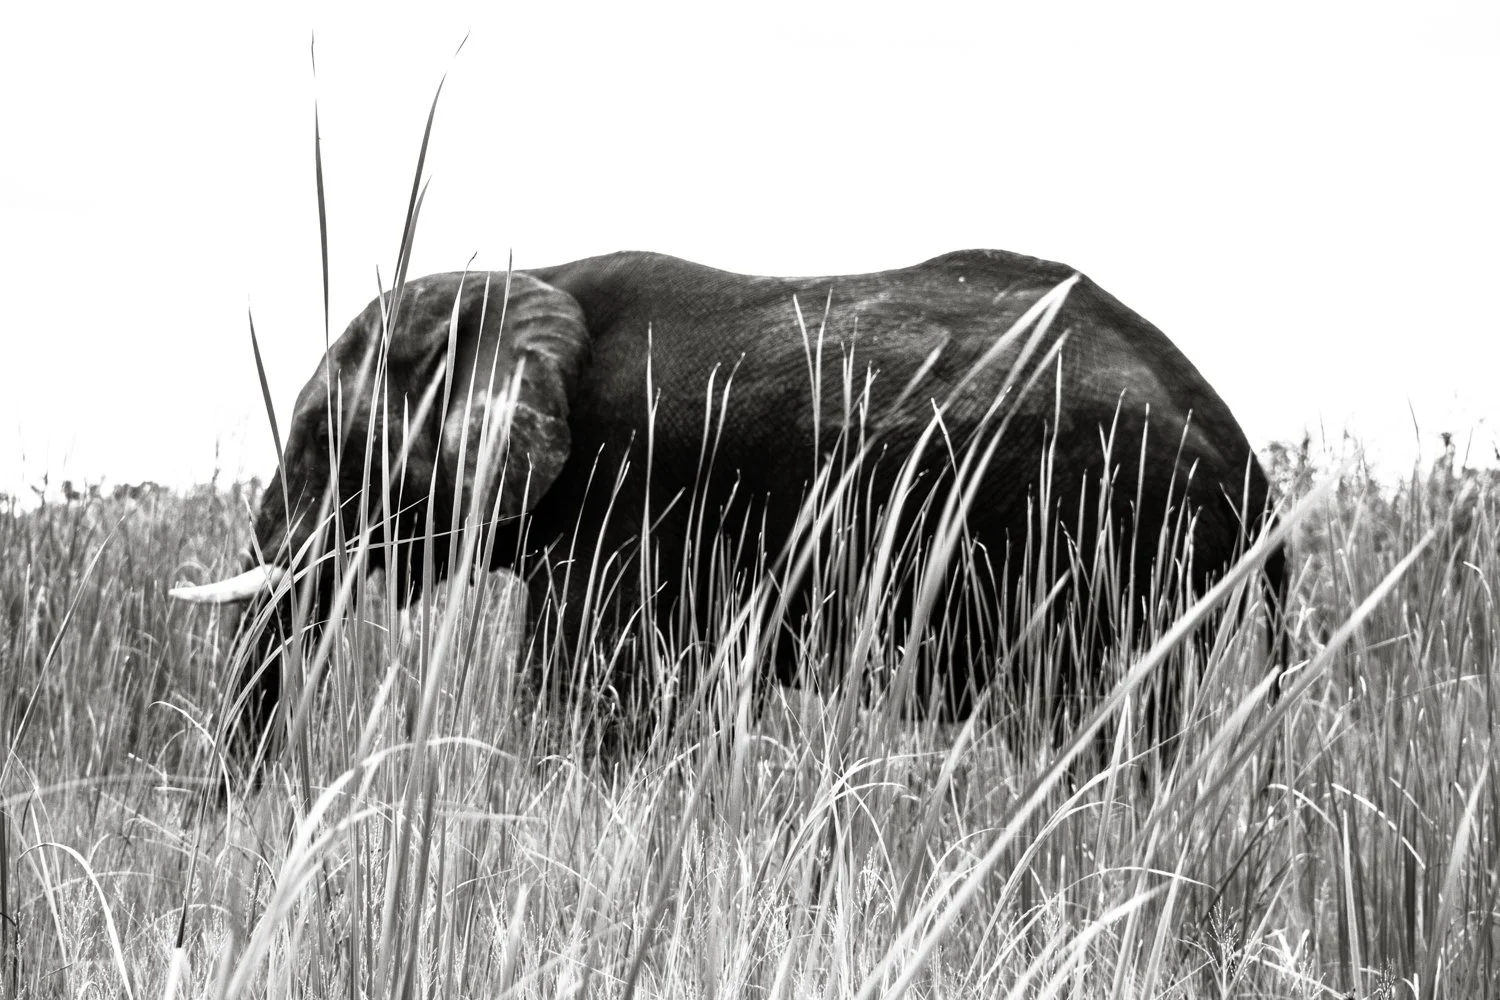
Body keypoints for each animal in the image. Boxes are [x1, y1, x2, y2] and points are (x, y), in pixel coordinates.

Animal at [171, 249, 1284, 760]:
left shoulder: (624, 489)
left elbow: (584, 694)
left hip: (1123, 537)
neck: (530, 279)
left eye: (321, 437)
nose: (234, 813)